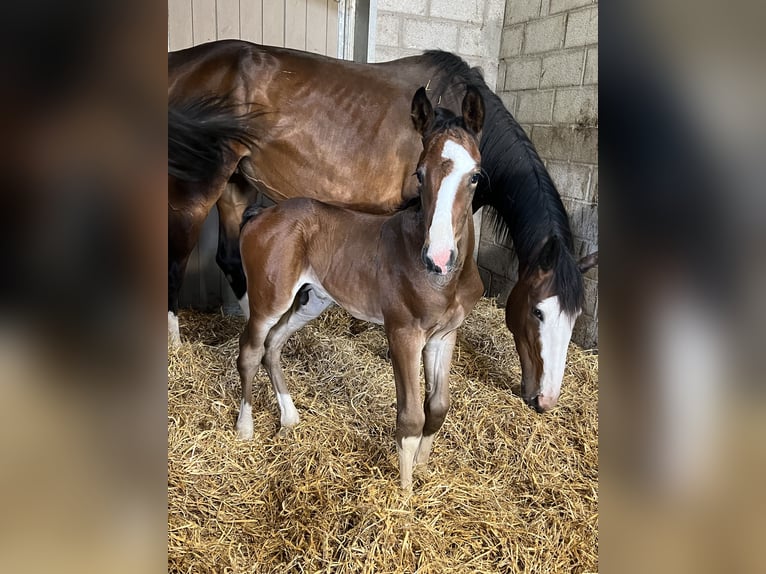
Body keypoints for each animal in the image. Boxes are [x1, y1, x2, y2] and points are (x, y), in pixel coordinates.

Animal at [168, 40, 598, 412]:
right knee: (176, 258)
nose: (544, 400)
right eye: (537, 312)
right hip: (200, 185)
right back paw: (175, 344)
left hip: (236, 183)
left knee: (231, 262)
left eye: (576, 317)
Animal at [235, 87, 485, 490]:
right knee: (250, 351)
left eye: (475, 175)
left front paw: (424, 465)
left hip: (310, 301)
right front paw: (405, 492)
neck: (446, 280)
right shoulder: (403, 332)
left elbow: (437, 407)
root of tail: (262, 213)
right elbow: (411, 417)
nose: (439, 257)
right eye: (419, 174)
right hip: (269, 299)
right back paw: (245, 427)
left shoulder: (445, 335)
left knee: (273, 346)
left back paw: (289, 417)